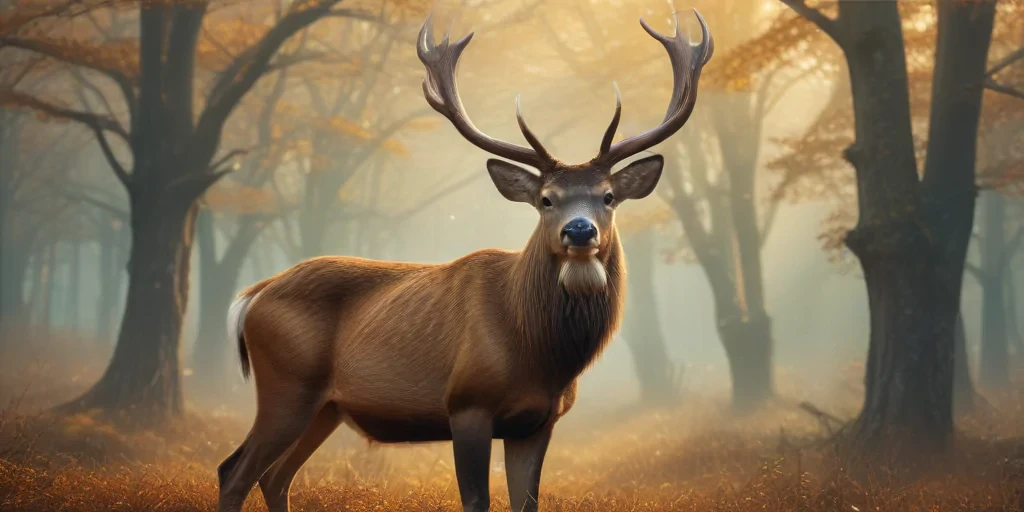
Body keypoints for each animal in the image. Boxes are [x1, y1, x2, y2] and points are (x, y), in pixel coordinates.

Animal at [217, 8, 712, 512]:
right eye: (546, 199)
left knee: (275, 476)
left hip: (326, 407)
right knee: (234, 471)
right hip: (287, 385)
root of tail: (252, 295)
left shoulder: (539, 421)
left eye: (608, 196)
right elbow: (477, 500)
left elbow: (526, 501)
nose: (579, 230)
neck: (537, 351)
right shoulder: (467, 403)